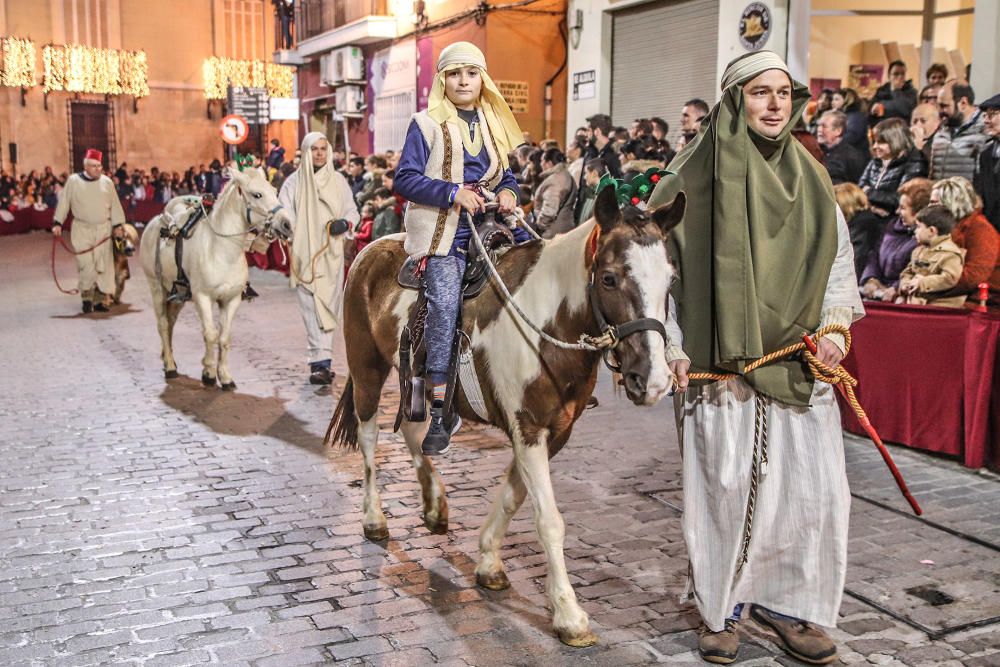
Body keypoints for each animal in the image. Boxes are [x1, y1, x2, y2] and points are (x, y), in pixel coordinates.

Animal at [140, 168, 292, 392]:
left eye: (274, 190)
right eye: (257, 194)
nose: (287, 224)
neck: (221, 250)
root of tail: (154, 223)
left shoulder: (231, 300)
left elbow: (224, 338)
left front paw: (225, 377)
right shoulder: (203, 298)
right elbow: (210, 335)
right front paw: (209, 373)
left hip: (177, 295)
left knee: (171, 322)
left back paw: (170, 360)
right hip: (156, 287)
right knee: (163, 325)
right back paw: (169, 366)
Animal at [328, 187, 688, 648]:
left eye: (671, 280)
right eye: (609, 278)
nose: (654, 379)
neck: (548, 322)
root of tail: (369, 250)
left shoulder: (551, 432)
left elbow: (514, 496)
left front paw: (488, 562)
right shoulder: (529, 427)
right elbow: (548, 519)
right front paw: (569, 615)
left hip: (416, 381)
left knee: (412, 429)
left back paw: (433, 502)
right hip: (367, 369)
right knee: (371, 438)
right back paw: (374, 518)